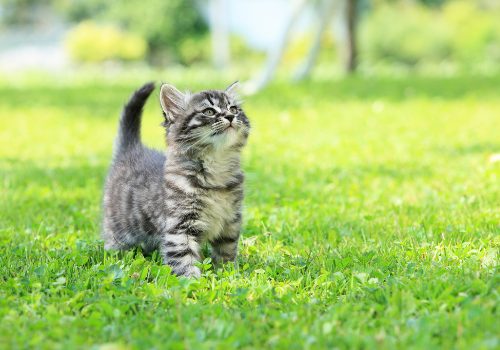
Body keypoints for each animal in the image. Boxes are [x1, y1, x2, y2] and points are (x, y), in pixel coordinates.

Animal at [101, 81, 250, 276]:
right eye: (209, 111)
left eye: (233, 109)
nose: (230, 116)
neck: (216, 168)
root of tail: (131, 149)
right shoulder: (179, 227)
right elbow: (184, 259)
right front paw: (193, 281)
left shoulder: (231, 221)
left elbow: (227, 250)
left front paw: (228, 273)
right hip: (118, 227)